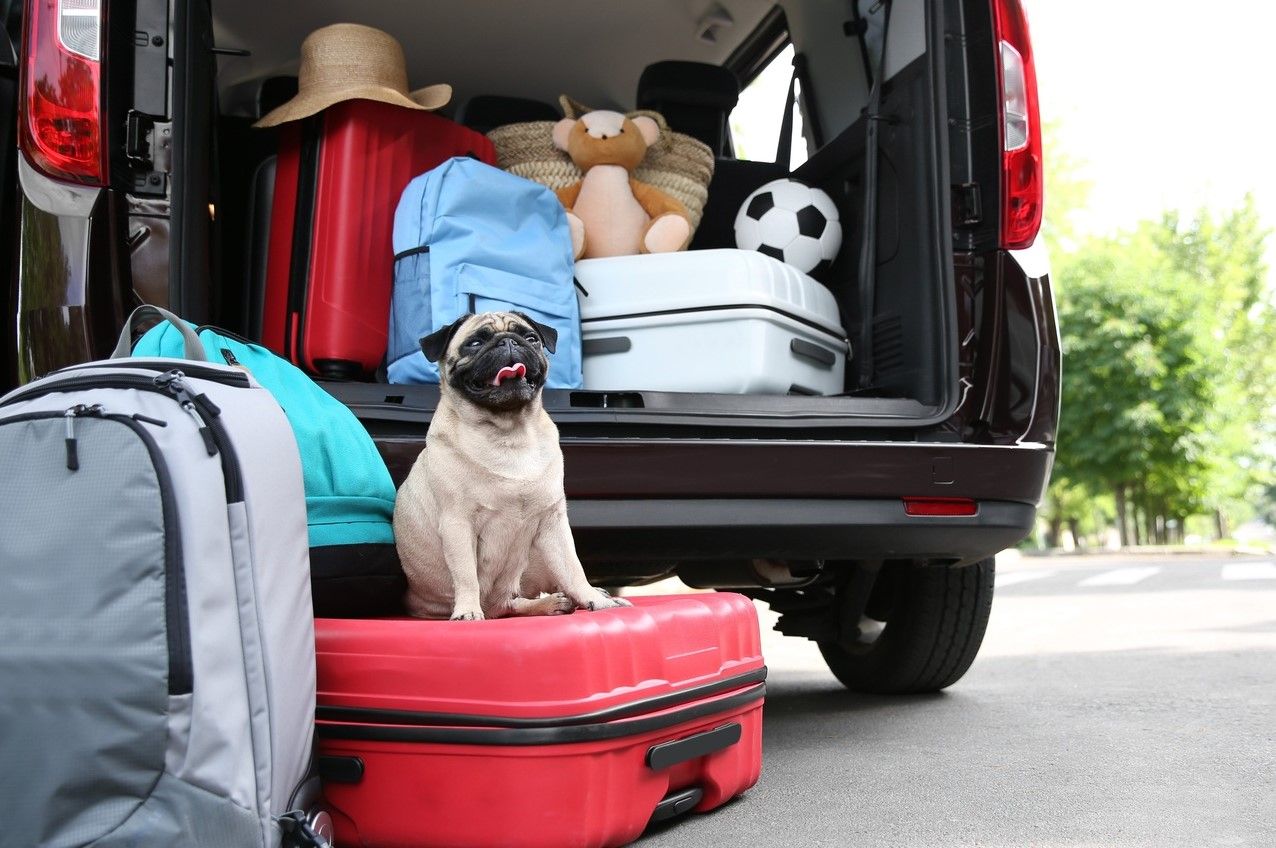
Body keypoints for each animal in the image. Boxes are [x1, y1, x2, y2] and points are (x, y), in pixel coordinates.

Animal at [387, 307, 627, 619]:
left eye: (531, 338)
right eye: (475, 343)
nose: (508, 341)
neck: (510, 433)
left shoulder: (553, 522)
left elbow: (573, 569)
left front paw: (594, 600)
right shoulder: (457, 523)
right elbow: (466, 574)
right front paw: (467, 611)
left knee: (513, 602)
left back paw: (556, 602)